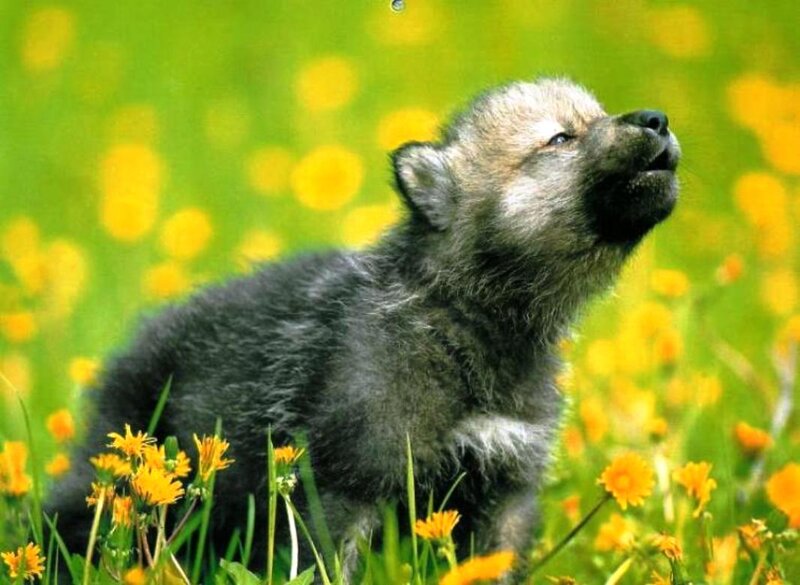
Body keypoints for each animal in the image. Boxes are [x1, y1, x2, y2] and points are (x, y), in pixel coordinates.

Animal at [48, 77, 680, 579]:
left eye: (597, 116)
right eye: (560, 138)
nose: (658, 118)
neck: (466, 326)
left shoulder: (507, 489)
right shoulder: (347, 483)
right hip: (119, 474)